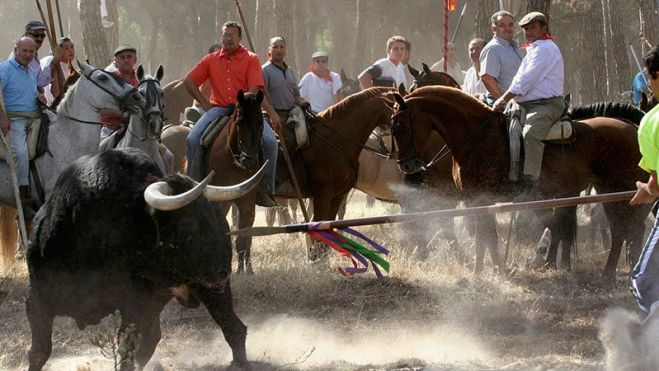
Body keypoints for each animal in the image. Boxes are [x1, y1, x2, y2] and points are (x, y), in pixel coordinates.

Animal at [27, 149, 251, 371]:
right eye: (187, 224)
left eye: (213, 214)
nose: (223, 270)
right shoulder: (37, 299)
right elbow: (39, 352)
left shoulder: (134, 302)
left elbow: (127, 348)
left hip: (211, 292)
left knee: (233, 328)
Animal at [390, 85, 652, 274]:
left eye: (401, 125)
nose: (406, 165)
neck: (477, 136)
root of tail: (633, 128)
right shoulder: (481, 200)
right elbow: (490, 236)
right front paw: (498, 269)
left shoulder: (478, 198)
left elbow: (483, 237)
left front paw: (479, 272)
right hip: (609, 192)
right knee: (622, 230)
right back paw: (611, 274)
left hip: (618, 190)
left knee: (629, 229)